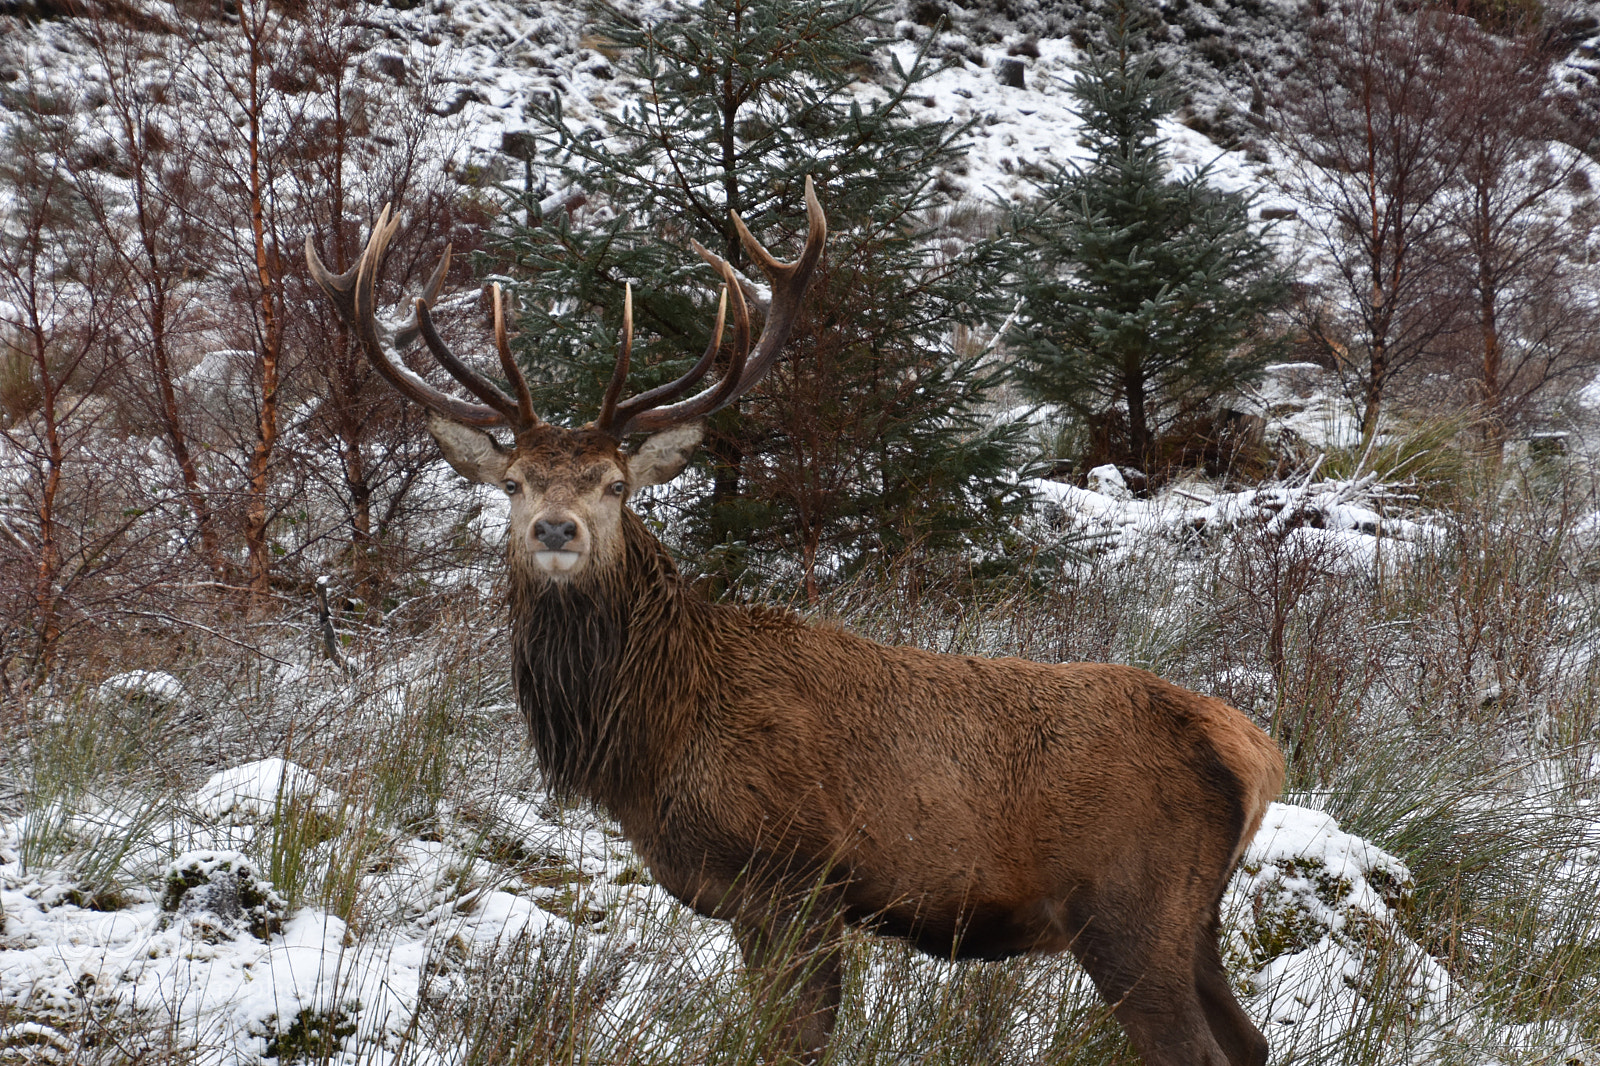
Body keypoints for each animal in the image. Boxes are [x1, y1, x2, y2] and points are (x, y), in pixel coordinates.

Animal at [306, 180, 1284, 1066]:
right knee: (1252, 1042)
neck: (655, 737)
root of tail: (1252, 751)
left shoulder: (794, 882)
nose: (555, 529)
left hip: (1129, 909)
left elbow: (793, 1046)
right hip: (1193, 918)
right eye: (513, 483)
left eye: (615, 485)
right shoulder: (752, 904)